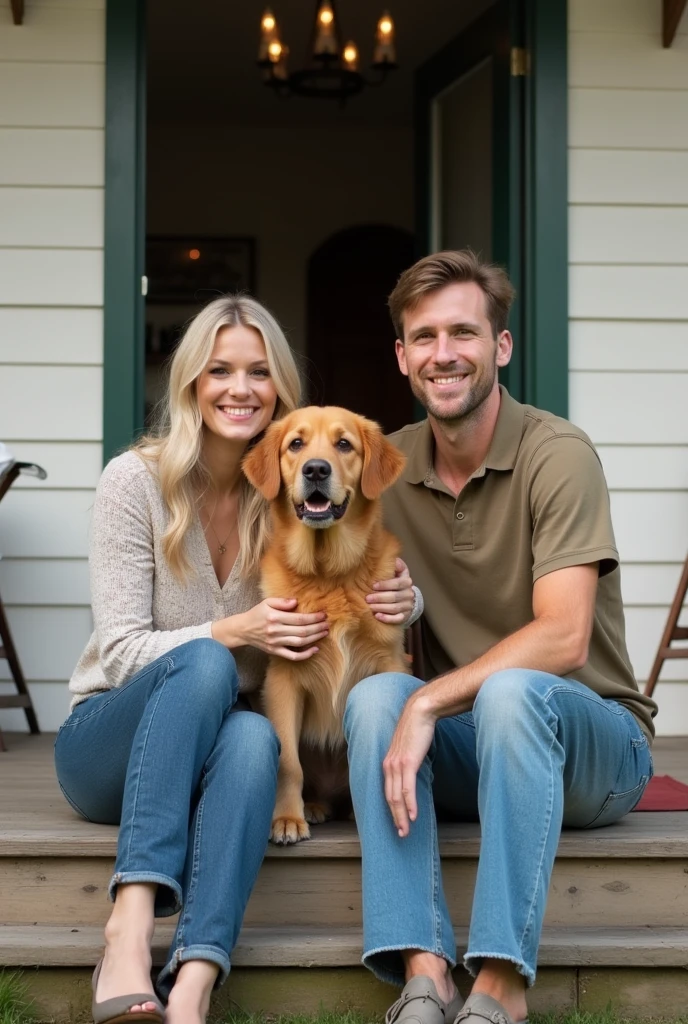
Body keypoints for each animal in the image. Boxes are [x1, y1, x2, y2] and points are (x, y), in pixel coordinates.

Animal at [243, 403, 409, 843]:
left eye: (344, 444)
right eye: (296, 444)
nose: (316, 470)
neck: (328, 574)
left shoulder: (389, 663)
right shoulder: (283, 678)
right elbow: (288, 762)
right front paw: (287, 818)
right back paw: (314, 807)